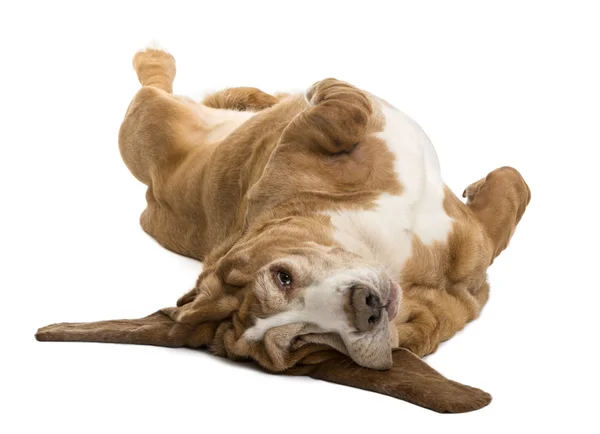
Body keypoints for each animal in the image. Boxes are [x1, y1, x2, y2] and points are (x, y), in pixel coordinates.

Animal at [36, 45, 528, 414]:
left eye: (282, 277)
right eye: (308, 338)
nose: (367, 308)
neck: (389, 256)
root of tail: (154, 192)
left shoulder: (476, 246)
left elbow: (513, 183)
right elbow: (343, 111)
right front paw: (326, 90)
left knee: (229, 96)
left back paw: (260, 98)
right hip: (145, 123)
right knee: (152, 82)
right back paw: (156, 58)